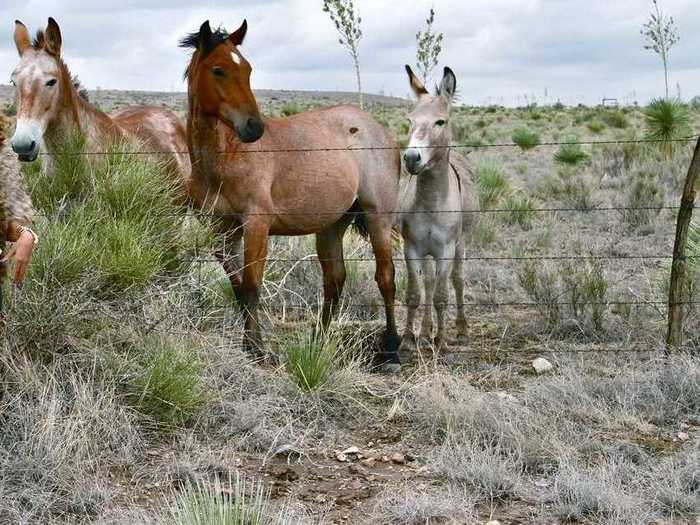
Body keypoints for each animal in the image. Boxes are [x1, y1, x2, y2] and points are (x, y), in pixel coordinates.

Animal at [178, 20, 402, 368]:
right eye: (218, 70)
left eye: (248, 69)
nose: (253, 128)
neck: (226, 157)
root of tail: (381, 131)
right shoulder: (221, 231)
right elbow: (238, 288)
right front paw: (251, 345)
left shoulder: (256, 226)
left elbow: (252, 286)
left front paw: (257, 349)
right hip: (331, 226)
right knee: (335, 280)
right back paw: (318, 343)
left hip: (378, 217)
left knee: (385, 277)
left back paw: (391, 349)